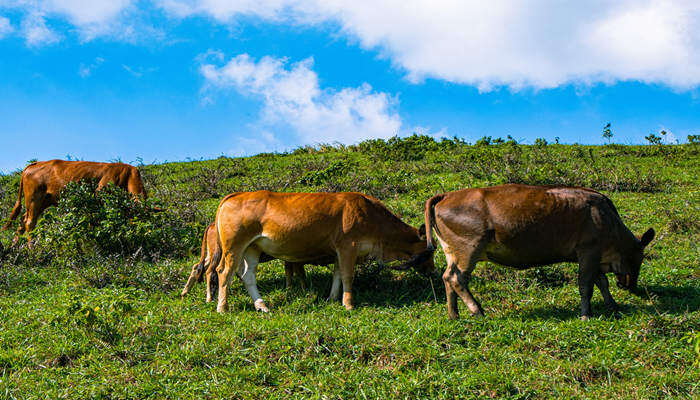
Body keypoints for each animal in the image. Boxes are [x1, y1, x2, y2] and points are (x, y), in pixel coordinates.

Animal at [3, 159, 146, 236]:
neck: (128, 175)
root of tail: (34, 164)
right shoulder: (100, 194)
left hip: (42, 202)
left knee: (22, 221)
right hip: (34, 199)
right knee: (30, 223)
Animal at [213, 191, 432, 312]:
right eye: (429, 253)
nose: (433, 271)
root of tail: (235, 196)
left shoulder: (339, 252)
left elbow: (337, 275)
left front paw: (332, 298)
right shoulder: (348, 246)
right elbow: (348, 276)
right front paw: (348, 304)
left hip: (252, 248)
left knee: (248, 276)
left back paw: (262, 305)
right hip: (234, 246)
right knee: (224, 272)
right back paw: (222, 308)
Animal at [412, 185, 652, 322]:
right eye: (640, 258)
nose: (631, 287)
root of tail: (447, 195)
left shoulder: (594, 256)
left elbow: (602, 282)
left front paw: (613, 306)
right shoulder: (589, 251)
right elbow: (586, 286)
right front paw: (586, 315)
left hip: (451, 251)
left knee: (447, 278)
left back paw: (454, 315)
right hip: (469, 248)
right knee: (457, 278)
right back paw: (477, 311)